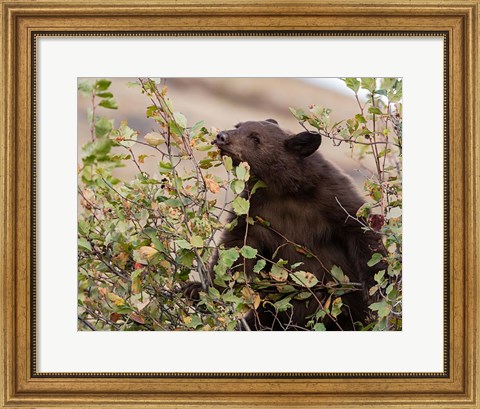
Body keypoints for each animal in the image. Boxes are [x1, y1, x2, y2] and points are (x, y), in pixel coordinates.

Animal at [185, 119, 382, 330]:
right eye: (238, 126)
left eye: (255, 138)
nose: (222, 137)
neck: (283, 189)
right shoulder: (254, 211)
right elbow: (236, 248)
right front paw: (198, 290)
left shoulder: (332, 196)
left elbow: (359, 229)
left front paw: (377, 287)